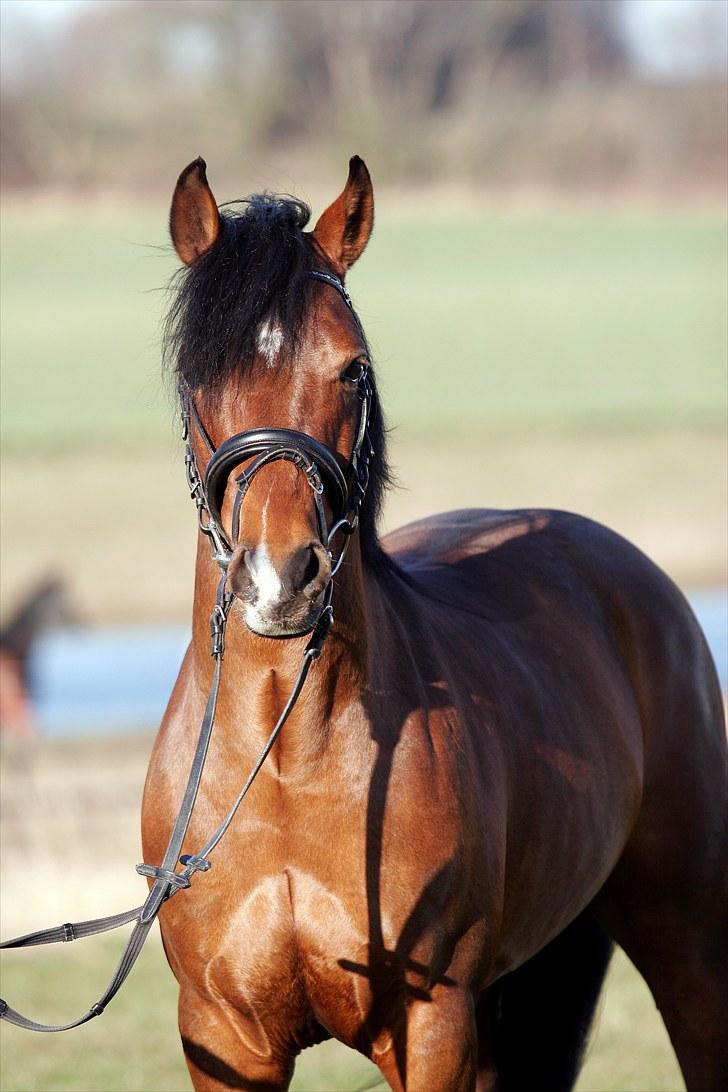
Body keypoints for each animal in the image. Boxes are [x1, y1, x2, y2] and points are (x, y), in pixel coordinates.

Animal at [141, 156, 728, 1092]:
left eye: (352, 370)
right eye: (200, 375)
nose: (280, 577)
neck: (285, 767)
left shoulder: (432, 1026)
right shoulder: (225, 1042)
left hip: (687, 940)